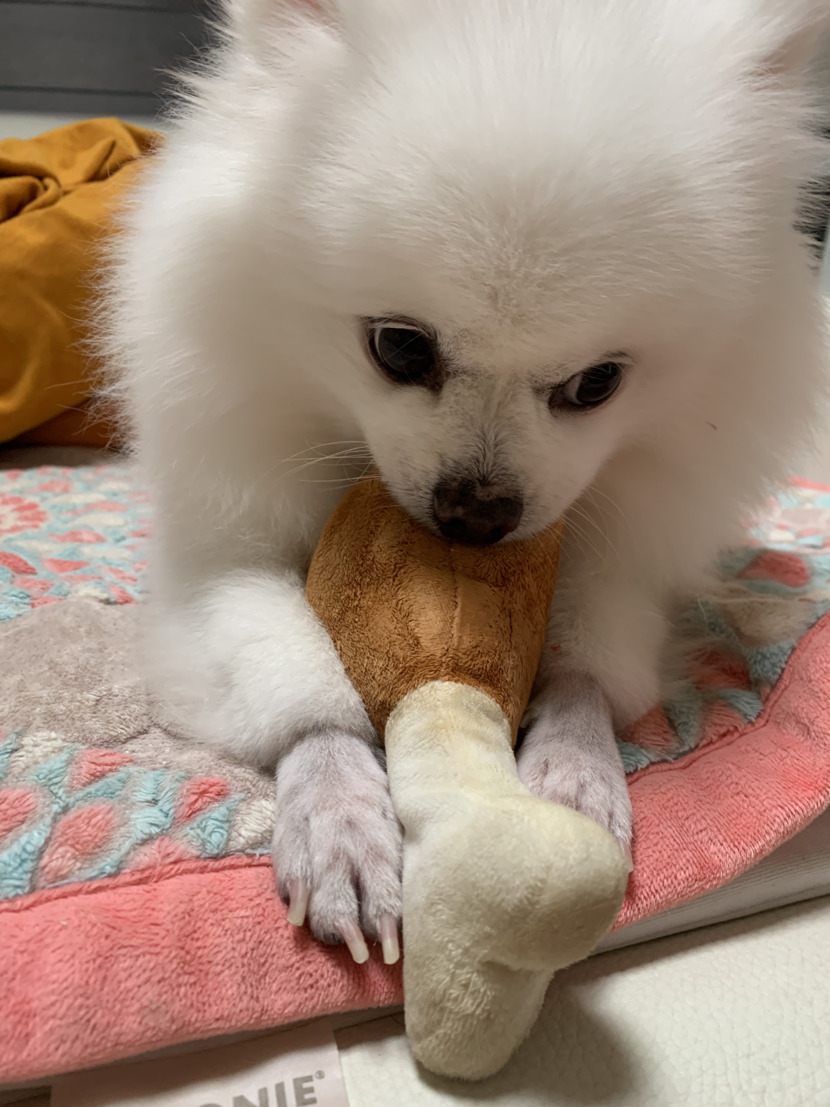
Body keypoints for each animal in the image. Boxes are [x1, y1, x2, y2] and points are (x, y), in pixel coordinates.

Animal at [103, 0, 830, 964]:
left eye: (597, 384)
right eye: (399, 347)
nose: (478, 513)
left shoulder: (620, 565)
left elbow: (587, 666)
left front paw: (576, 772)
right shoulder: (218, 558)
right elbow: (297, 681)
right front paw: (338, 820)